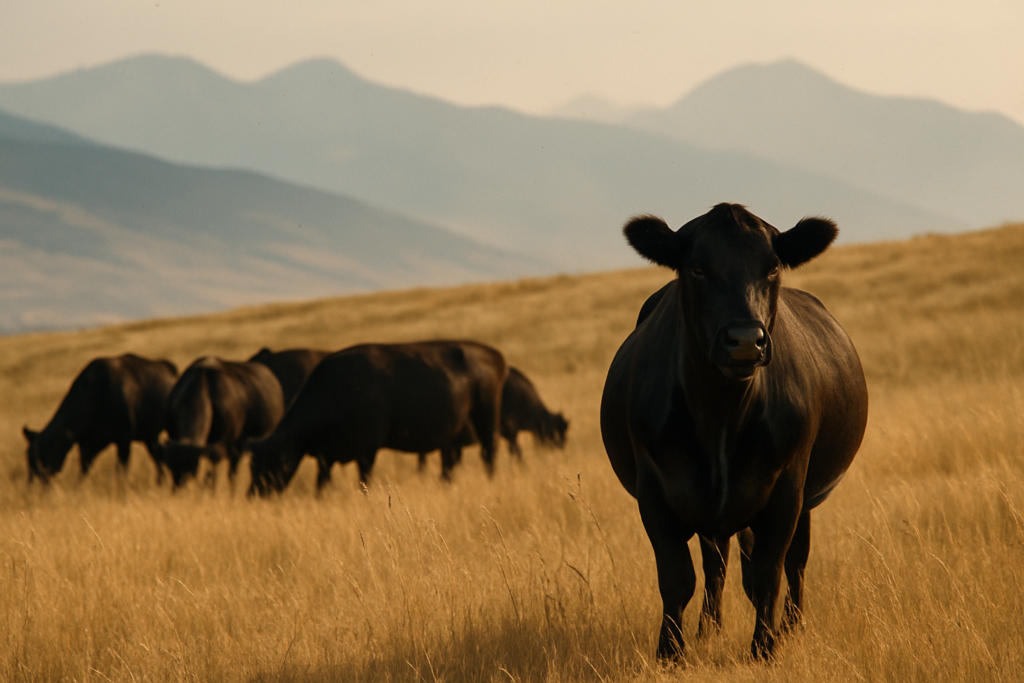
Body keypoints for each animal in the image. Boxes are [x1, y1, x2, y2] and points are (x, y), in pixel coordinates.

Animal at [23, 353, 178, 483]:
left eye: (41, 458)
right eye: (29, 461)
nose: (32, 485)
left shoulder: (124, 440)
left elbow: (121, 469)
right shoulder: (87, 444)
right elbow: (84, 470)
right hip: (150, 437)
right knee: (157, 458)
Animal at [156, 356, 285, 489]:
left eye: (192, 468)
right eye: (169, 466)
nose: (178, 488)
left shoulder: (223, 447)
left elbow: (214, 475)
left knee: (232, 472)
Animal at [249, 340, 507, 495]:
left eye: (267, 463)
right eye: (251, 465)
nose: (252, 495)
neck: (334, 390)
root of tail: (493, 354)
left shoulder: (367, 449)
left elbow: (364, 479)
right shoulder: (326, 455)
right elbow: (322, 482)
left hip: (486, 418)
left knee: (489, 451)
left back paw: (491, 481)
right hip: (454, 433)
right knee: (451, 461)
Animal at [600, 204, 868, 660]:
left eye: (772, 266)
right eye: (697, 268)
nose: (745, 340)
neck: (721, 417)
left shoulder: (787, 486)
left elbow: (767, 573)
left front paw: (765, 648)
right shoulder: (654, 489)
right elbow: (677, 577)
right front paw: (670, 653)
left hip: (801, 498)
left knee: (794, 561)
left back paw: (791, 626)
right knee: (717, 562)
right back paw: (709, 628)